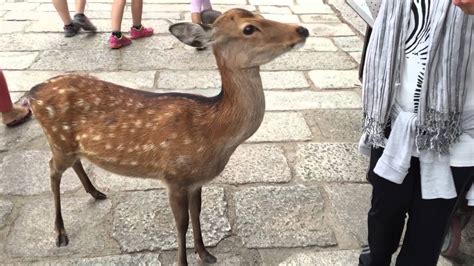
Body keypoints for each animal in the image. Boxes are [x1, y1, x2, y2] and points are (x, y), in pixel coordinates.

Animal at [29, 8, 310, 266]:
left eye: (261, 14)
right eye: (249, 28)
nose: (302, 30)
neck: (215, 133)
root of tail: (32, 93)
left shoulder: (195, 180)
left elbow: (197, 213)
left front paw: (206, 253)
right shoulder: (174, 176)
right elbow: (181, 223)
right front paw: (184, 261)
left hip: (68, 145)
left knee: (72, 163)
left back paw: (96, 192)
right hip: (58, 140)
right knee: (52, 169)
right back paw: (60, 233)